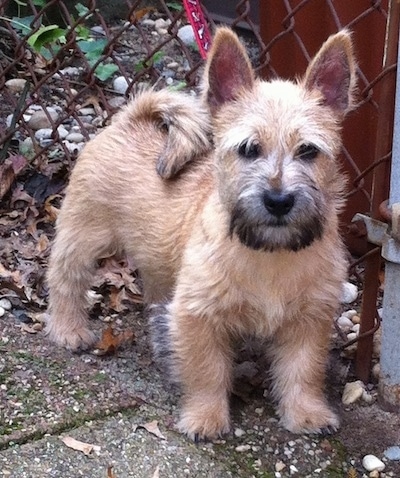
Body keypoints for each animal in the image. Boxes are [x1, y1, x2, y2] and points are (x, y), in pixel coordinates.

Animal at [46, 29, 356, 440]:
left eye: (308, 151)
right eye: (248, 149)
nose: (278, 200)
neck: (269, 253)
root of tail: (132, 118)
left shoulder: (309, 320)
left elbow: (303, 370)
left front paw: (305, 413)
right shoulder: (199, 315)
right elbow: (207, 370)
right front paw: (206, 417)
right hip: (84, 234)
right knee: (65, 277)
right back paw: (68, 329)